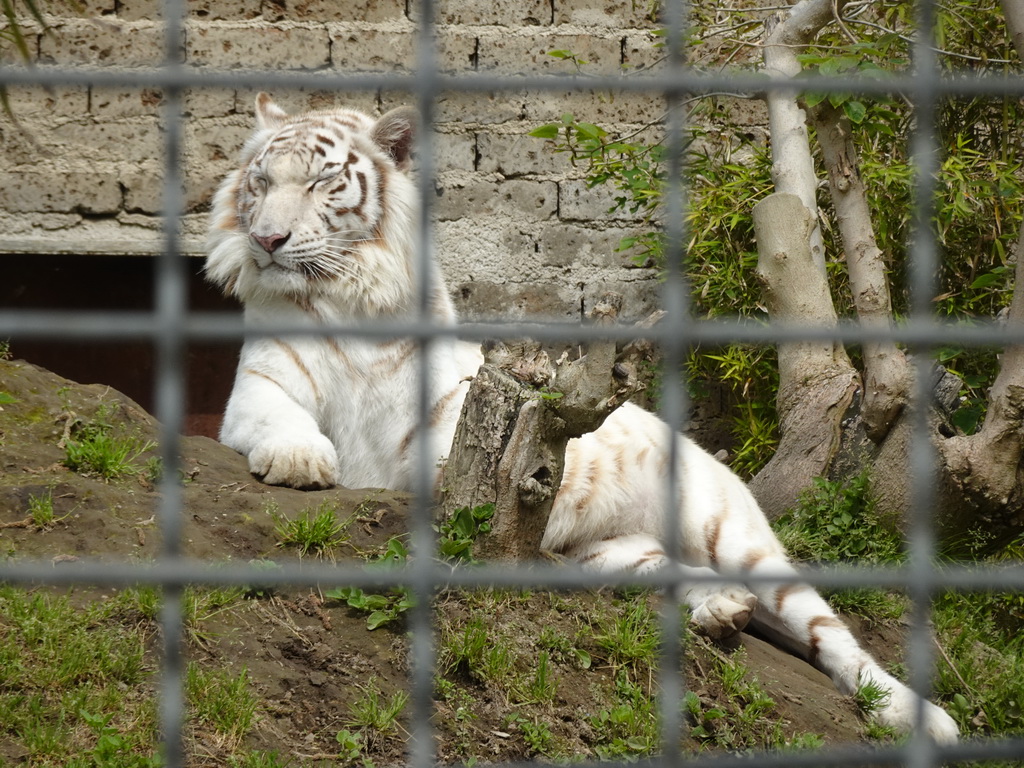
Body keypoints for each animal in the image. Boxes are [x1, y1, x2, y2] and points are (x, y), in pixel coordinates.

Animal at [205, 91, 958, 745]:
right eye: (261, 181)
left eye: (321, 183)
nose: (267, 239)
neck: (343, 300)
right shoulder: (259, 388)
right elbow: (279, 420)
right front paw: (303, 460)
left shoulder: (450, 414)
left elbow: (450, 462)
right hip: (617, 556)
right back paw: (722, 611)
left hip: (739, 539)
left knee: (836, 640)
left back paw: (921, 716)